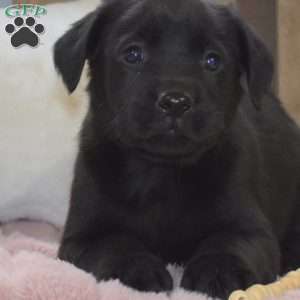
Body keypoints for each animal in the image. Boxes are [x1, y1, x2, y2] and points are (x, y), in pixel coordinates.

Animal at [54, 0, 300, 298]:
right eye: (133, 54)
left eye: (212, 60)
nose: (175, 102)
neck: (162, 172)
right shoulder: (82, 237)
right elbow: (115, 245)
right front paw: (137, 270)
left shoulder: (251, 229)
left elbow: (227, 243)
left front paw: (217, 272)